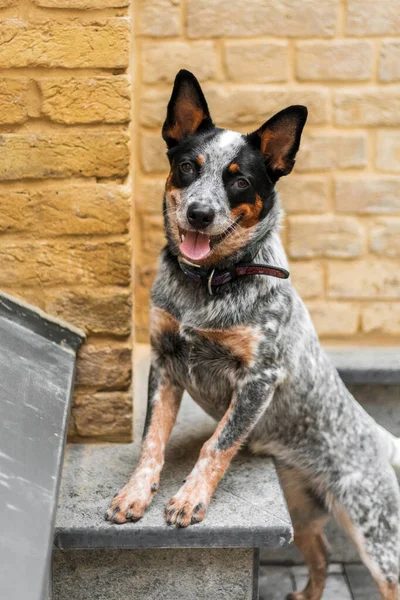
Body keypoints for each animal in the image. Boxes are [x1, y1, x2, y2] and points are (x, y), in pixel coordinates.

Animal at [106, 71, 400, 600]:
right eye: (188, 167)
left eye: (239, 178)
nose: (200, 214)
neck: (209, 283)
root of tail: (378, 438)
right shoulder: (164, 361)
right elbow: (152, 441)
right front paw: (135, 494)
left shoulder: (259, 377)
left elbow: (217, 444)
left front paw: (189, 500)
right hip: (301, 511)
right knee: (322, 556)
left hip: (377, 539)